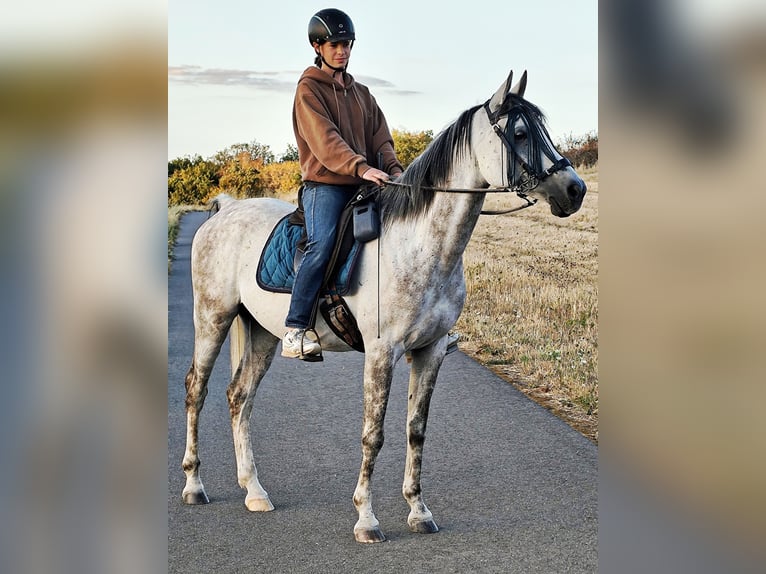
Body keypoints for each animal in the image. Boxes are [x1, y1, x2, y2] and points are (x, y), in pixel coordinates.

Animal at [180, 70, 586, 543]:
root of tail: (225, 209)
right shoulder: (380, 353)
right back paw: (194, 485)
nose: (575, 189)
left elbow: (416, 431)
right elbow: (372, 435)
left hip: (263, 332)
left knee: (239, 396)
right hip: (212, 318)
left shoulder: (430, 352)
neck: (422, 246)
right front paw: (366, 519)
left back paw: (255, 491)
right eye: (520, 133)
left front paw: (418, 511)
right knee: (197, 389)